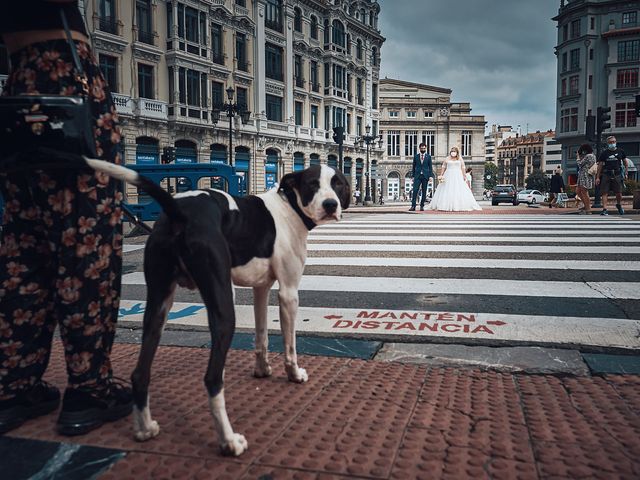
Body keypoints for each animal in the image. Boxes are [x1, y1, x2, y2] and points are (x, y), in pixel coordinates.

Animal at [85, 158, 350, 458]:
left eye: (338, 183)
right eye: (313, 184)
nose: (331, 204)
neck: (290, 207)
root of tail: (179, 210)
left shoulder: (261, 289)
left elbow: (261, 335)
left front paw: (262, 369)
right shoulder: (288, 293)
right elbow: (289, 345)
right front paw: (294, 374)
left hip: (158, 307)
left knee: (140, 373)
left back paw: (144, 429)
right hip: (224, 307)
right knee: (212, 379)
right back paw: (229, 441)